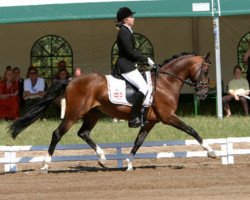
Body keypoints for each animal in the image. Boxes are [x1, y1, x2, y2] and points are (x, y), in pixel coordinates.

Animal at [9, 52, 216, 171]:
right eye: (206, 70)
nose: (204, 93)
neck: (166, 82)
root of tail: (71, 80)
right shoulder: (168, 117)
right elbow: (192, 130)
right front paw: (211, 151)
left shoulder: (150, 122)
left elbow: (139, 141)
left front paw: (129, 163)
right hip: (73, 113)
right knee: (57, 134)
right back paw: (45, 164)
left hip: (93, 113)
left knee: (84, 133)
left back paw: (102, 158)